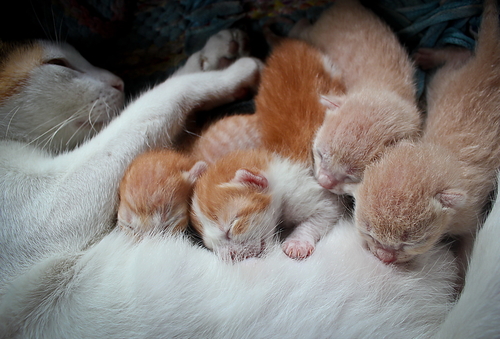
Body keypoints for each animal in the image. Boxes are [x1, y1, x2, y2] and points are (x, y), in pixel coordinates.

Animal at [354, 0, 500, 264]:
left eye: (410, 243)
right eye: (369, 231)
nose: (384, 258)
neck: (442, 153)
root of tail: (490, 65)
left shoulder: (471, 216)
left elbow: (468, 245)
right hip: (444, 80)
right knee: (460, 57)